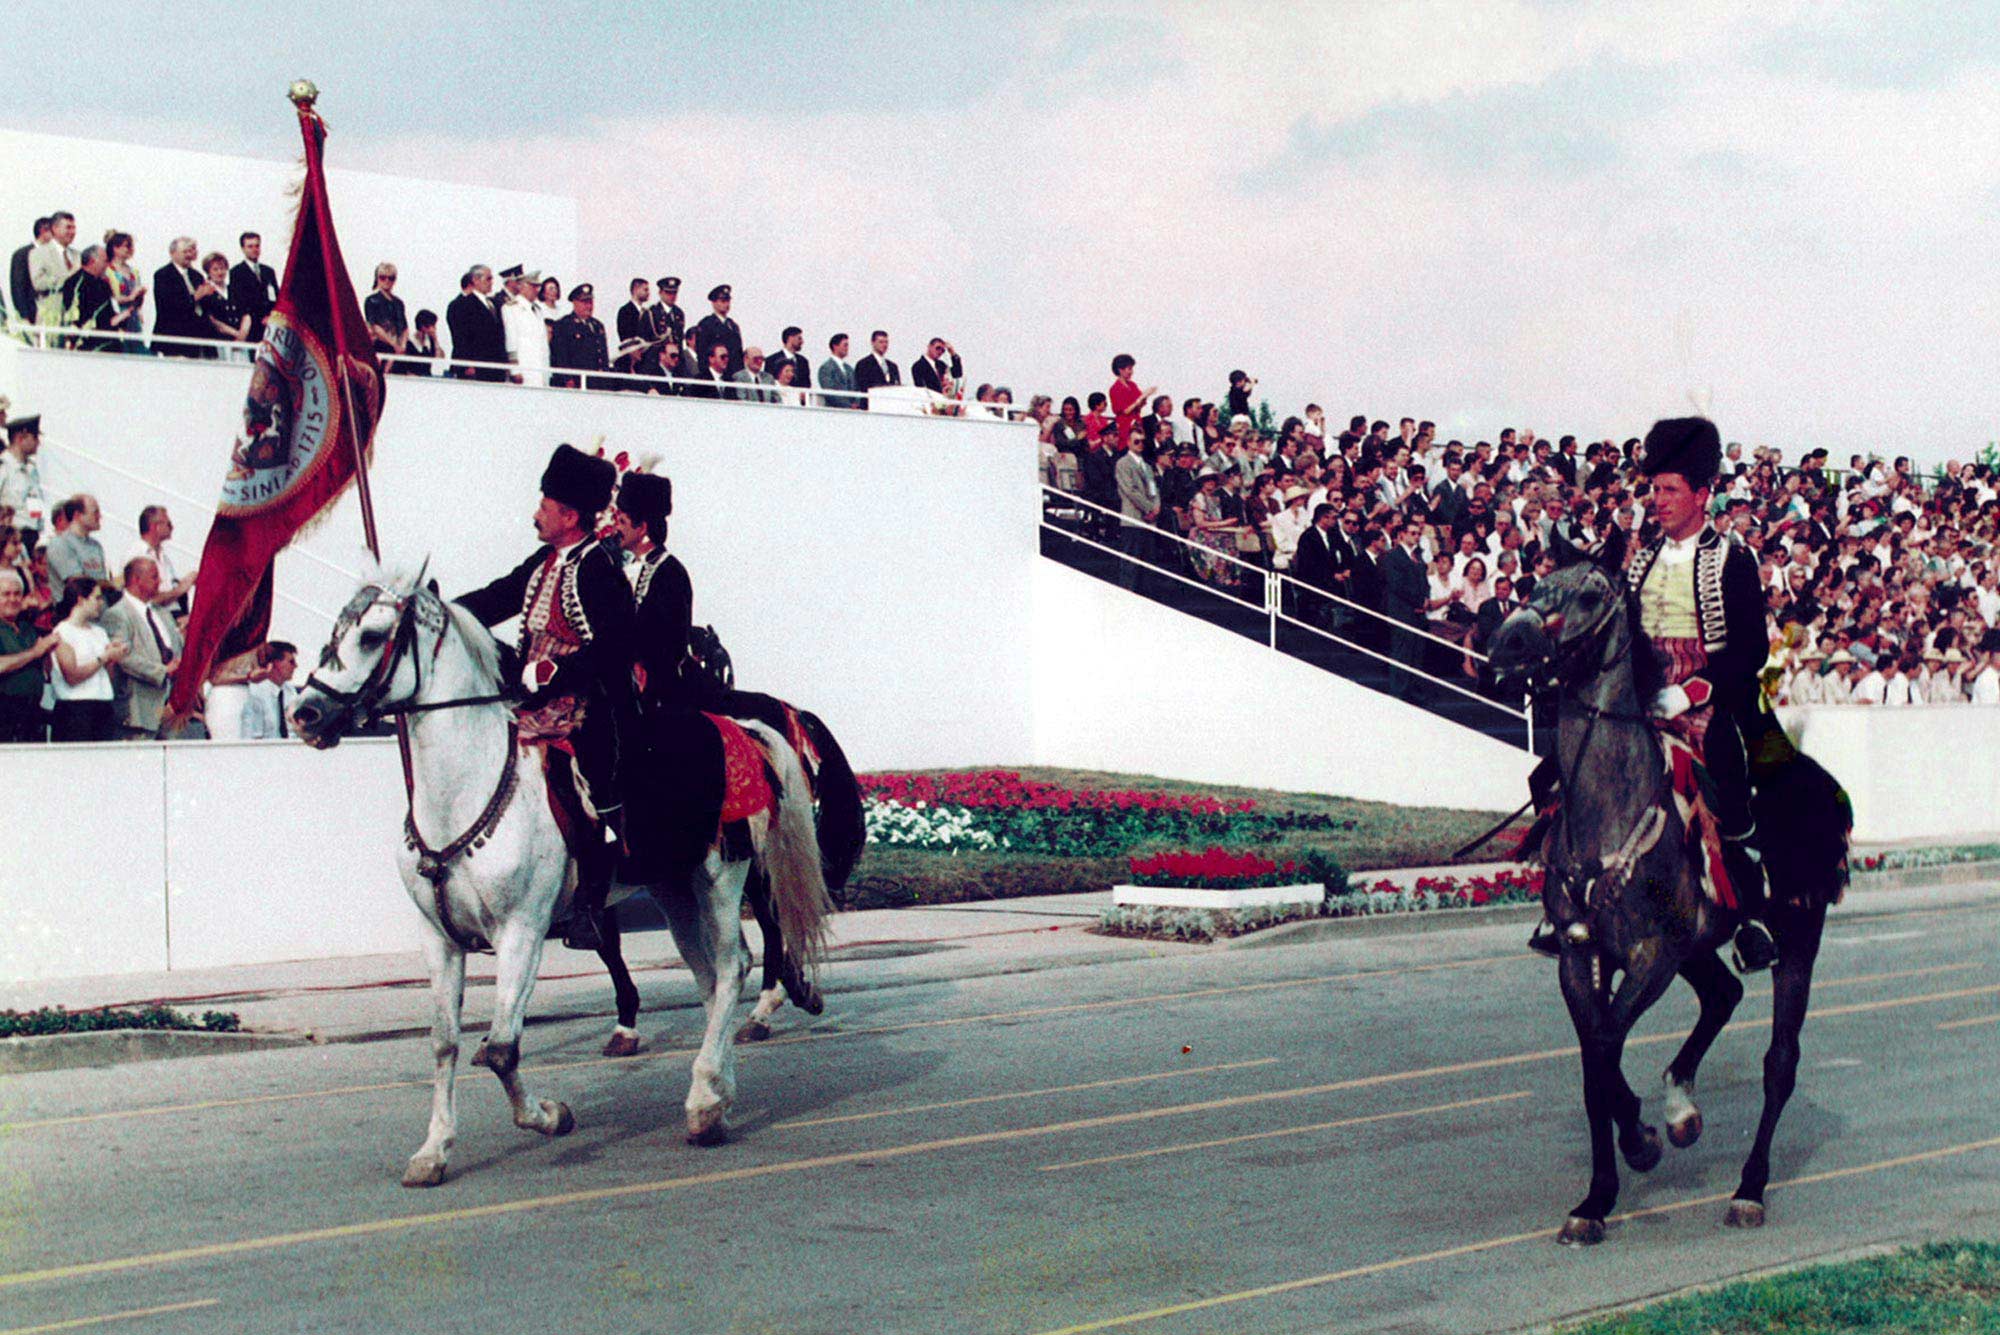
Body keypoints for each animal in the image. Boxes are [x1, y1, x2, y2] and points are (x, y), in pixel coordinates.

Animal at [290, 563, 836, 1191]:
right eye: (335, 631)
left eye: (373, 636)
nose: (305, 715)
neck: (464, 789)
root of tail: (740, 727)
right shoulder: (439, 940)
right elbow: (446, 1044)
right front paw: (433, 1150)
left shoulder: (521, 932)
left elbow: (501, 1049)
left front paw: (550, 1116)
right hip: (673, 888)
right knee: (709, 978)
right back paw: (719, 1090)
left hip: (721, 877)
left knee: (732, 966)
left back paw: (704, 1104)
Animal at [1496, 559, 1848, 1247]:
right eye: (1533, 583)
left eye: (1589, 593)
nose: (1507, 642)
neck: (1609, 809)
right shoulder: (1580, 955)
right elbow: (1594, 1058)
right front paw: (1600, 1194)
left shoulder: (1652, 955)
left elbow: (1605, 1045)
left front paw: (1637, 1145)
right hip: (1699, 946)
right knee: (1723, 994)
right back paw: (1682, 1109)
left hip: (1797, 937)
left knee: (1779, 1061)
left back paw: (1748, 1190)